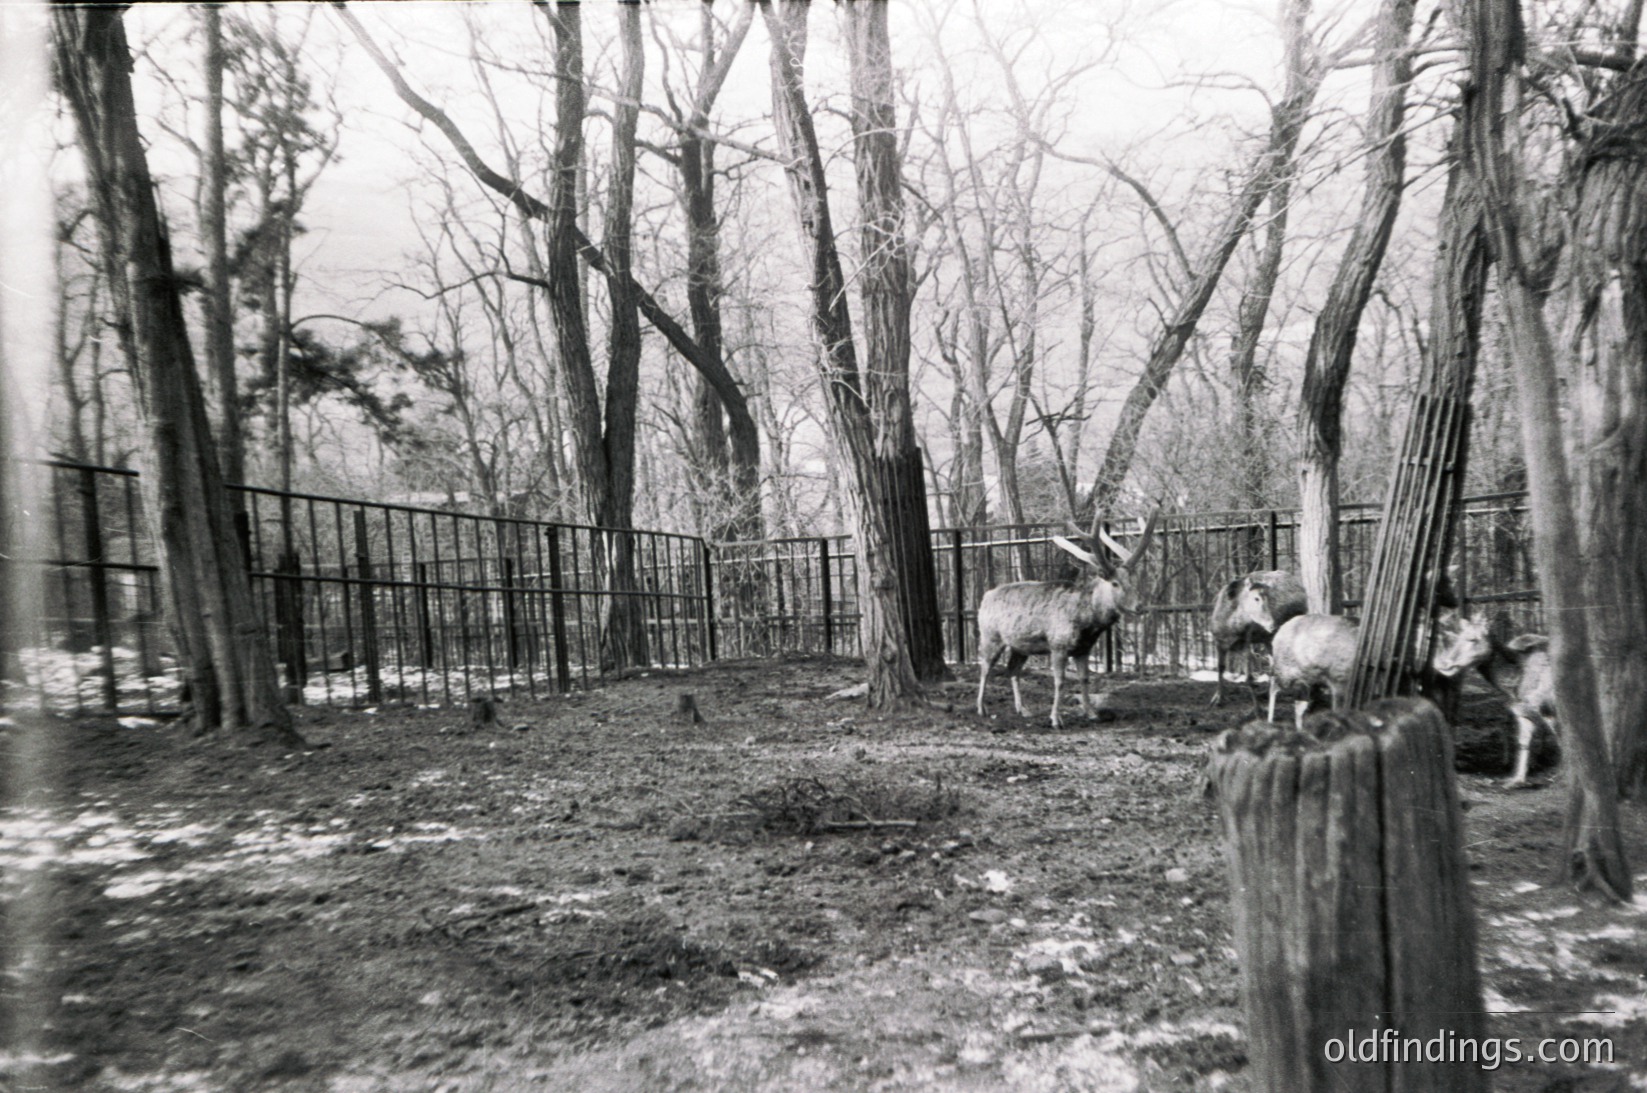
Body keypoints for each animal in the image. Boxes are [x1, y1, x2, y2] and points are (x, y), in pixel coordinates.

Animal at [974, 511, 1159, 728]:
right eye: (1115, 583)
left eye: (1133, 581)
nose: (1140, 606)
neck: (1087, 624)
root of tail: (985, 597)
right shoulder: (1058, 645)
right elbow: (1060, 681)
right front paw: (1056, 719)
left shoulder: (1083, 649)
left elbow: (1084, 679)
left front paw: (1092, 713)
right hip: (990, 635)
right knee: (985, 668)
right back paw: (981, 708)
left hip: (1021, 646)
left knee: (1012, 670)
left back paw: (1023, 709)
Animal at [1207, 570, 1307, 707]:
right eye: (1256, 598)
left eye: (1267, 598)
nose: (1272, 624)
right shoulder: (1218, 641)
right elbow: (1220, 668)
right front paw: (1217, 698)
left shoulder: (1246, 641)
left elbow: (1248, 677)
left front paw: (1257, 707)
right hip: (1268, 640)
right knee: (1273, 665)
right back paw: (1268, 693)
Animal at [1430, 613, 1555, 787]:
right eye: (1458, 637)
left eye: (1472, 639)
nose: (1444, 664)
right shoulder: (1523, 709)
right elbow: (1523, 740)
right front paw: (1516, 779)